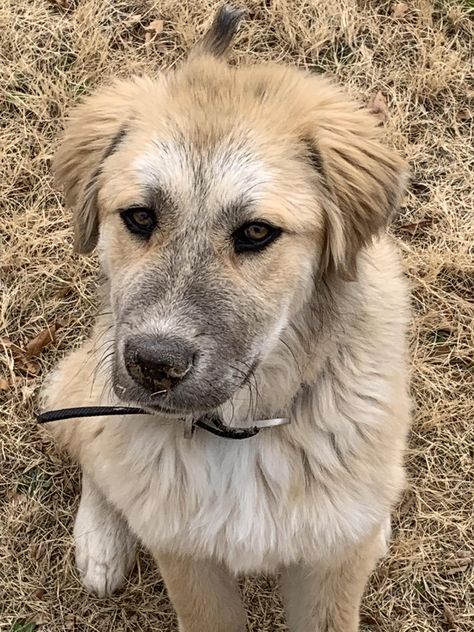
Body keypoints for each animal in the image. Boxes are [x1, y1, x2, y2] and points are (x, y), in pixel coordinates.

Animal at [41, 6, 412, 632]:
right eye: (139, 217)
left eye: (257, 232)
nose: (153, 366)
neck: (240, 430)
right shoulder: (188, 556)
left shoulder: (327, 572)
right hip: (82, 381)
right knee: (94, 446)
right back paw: (101, 539)